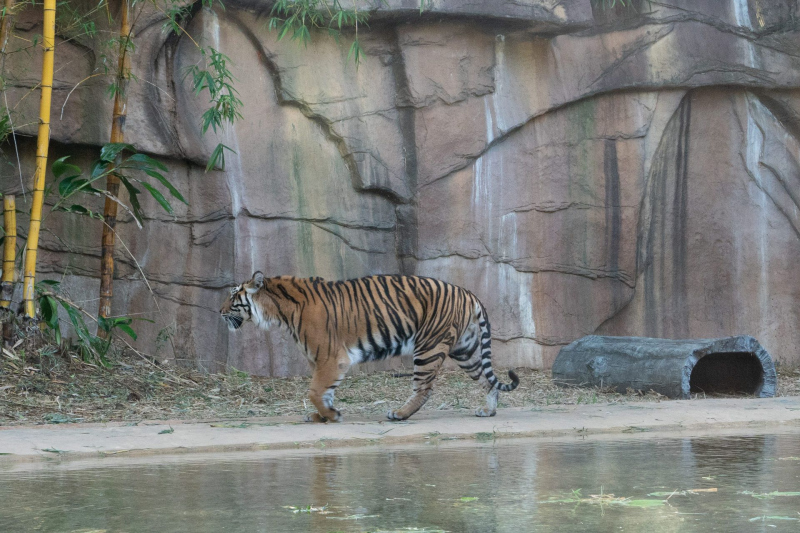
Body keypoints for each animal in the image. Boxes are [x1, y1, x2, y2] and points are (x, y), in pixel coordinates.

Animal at [220, 272, 519, 422]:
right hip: (465, 350)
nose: (219, 312)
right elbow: (324, 392)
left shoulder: (332, 357)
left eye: (234, 296)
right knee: (487, 380)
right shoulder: (324, 361)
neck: (279, 311)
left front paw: (331, 415)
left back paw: (399, 414)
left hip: (429, 346)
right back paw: (488, 410)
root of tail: (468, 292)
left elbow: (315, 391)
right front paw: (323, 415)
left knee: (424, 388)